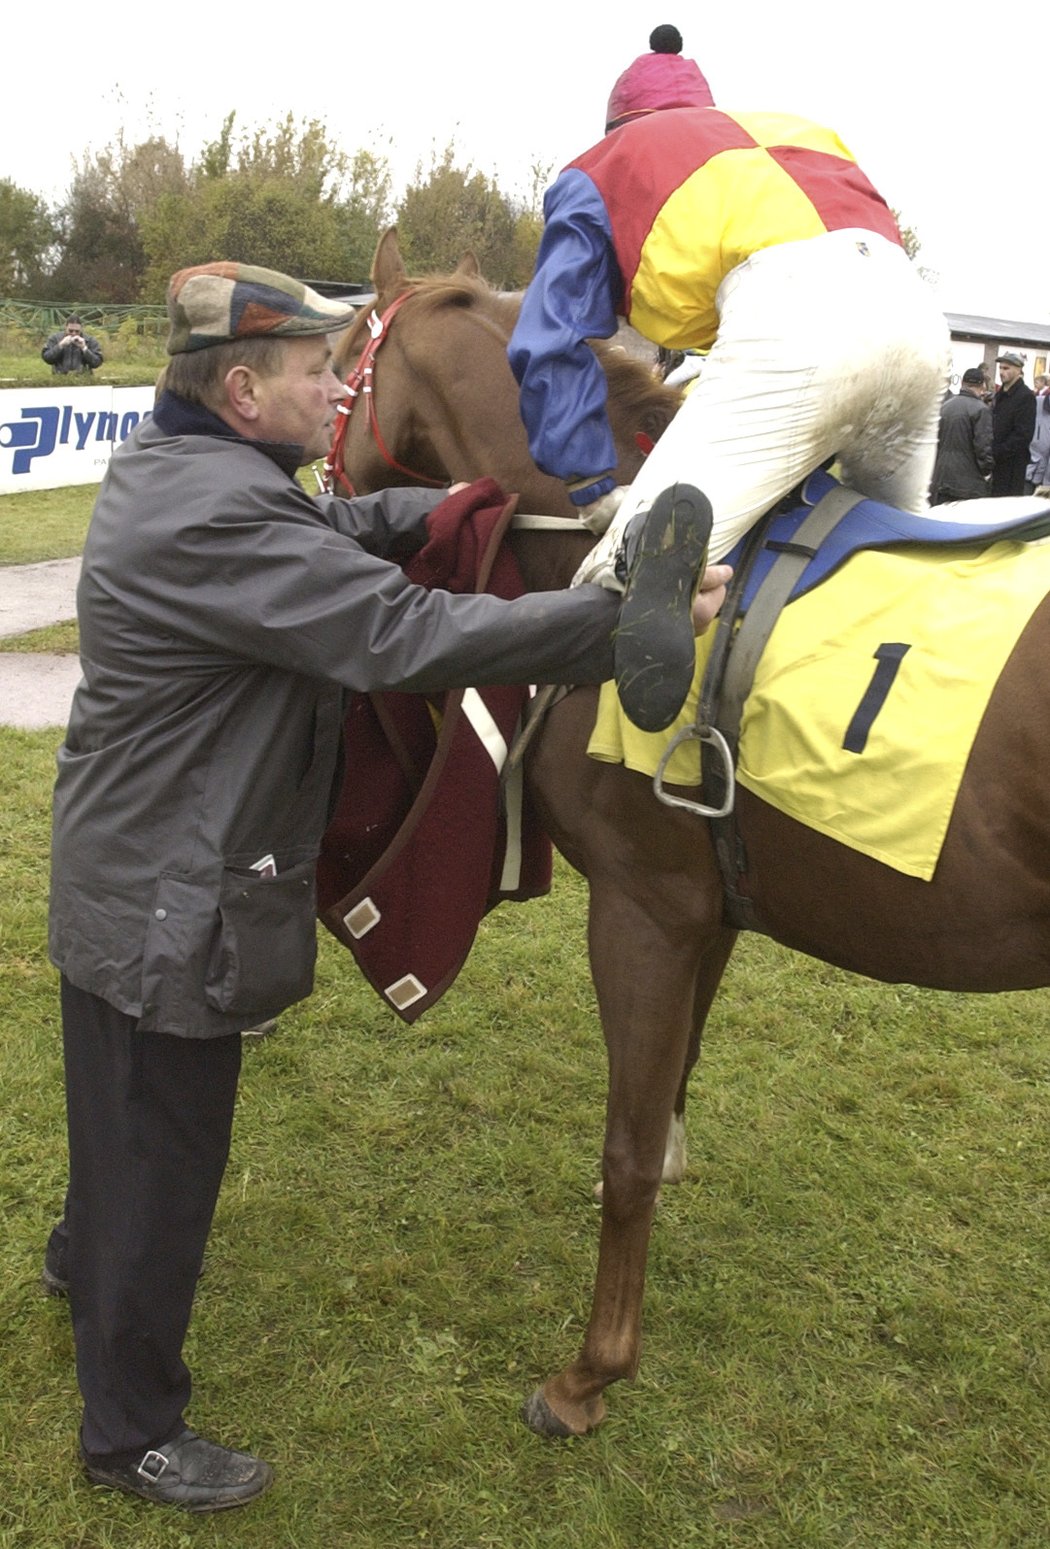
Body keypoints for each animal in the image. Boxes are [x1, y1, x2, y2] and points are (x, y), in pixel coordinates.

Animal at [332, 226, 1050, 1437]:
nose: (322, 493)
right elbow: (673, 1083)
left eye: (336, 364)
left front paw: (589, 1374)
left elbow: (626, 1146)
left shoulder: (645, 908)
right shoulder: (711, 901)